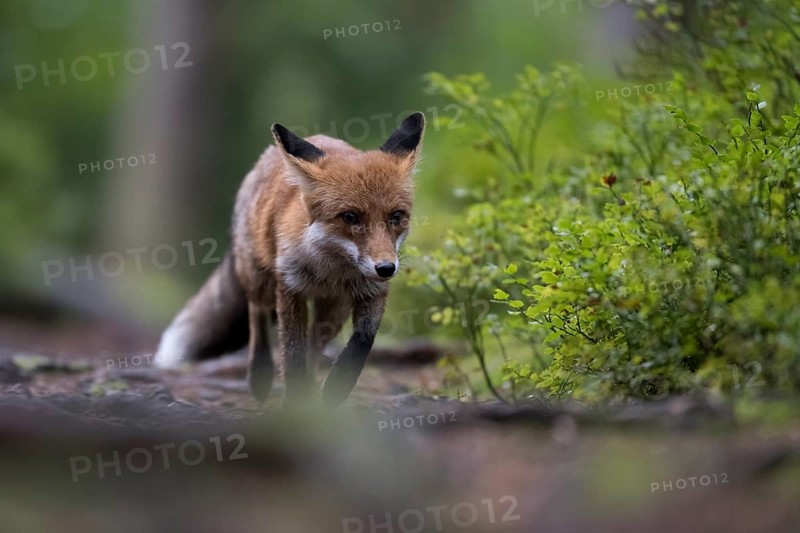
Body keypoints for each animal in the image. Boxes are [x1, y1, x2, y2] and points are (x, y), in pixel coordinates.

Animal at [154, 112, 425, 405]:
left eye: (396, 216)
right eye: (350, 217)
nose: (386, 268)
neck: (331, 270)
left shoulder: (371, 292)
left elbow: (361, 342)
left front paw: (336, 388)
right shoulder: (290, 288)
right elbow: (292, 353)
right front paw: (294, 402)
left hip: (333, 310)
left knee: (315, 345)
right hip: (260, 281)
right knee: (257, 316)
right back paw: (260, 375)